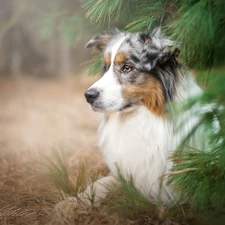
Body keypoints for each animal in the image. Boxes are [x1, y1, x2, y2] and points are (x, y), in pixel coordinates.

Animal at [56, 28, 206, 209]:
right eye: (106, 67)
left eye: (127, 68)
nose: (88, 96)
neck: (142, 119)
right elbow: (100, 183)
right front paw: (71, 202)